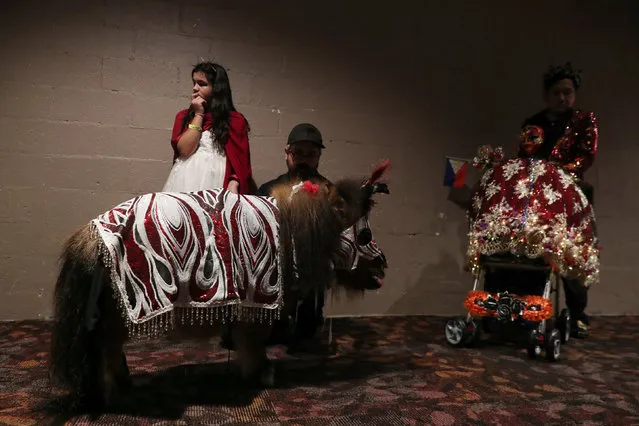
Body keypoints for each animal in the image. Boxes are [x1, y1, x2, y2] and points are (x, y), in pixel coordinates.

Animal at [48, 162, 390, 410]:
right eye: (364, 234)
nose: (383, 263)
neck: (292, 230)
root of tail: (89, 236)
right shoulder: (256, 306)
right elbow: (254, 344)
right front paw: (262, 373)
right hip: (114, 316)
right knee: (105, 350)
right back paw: (112, 392)